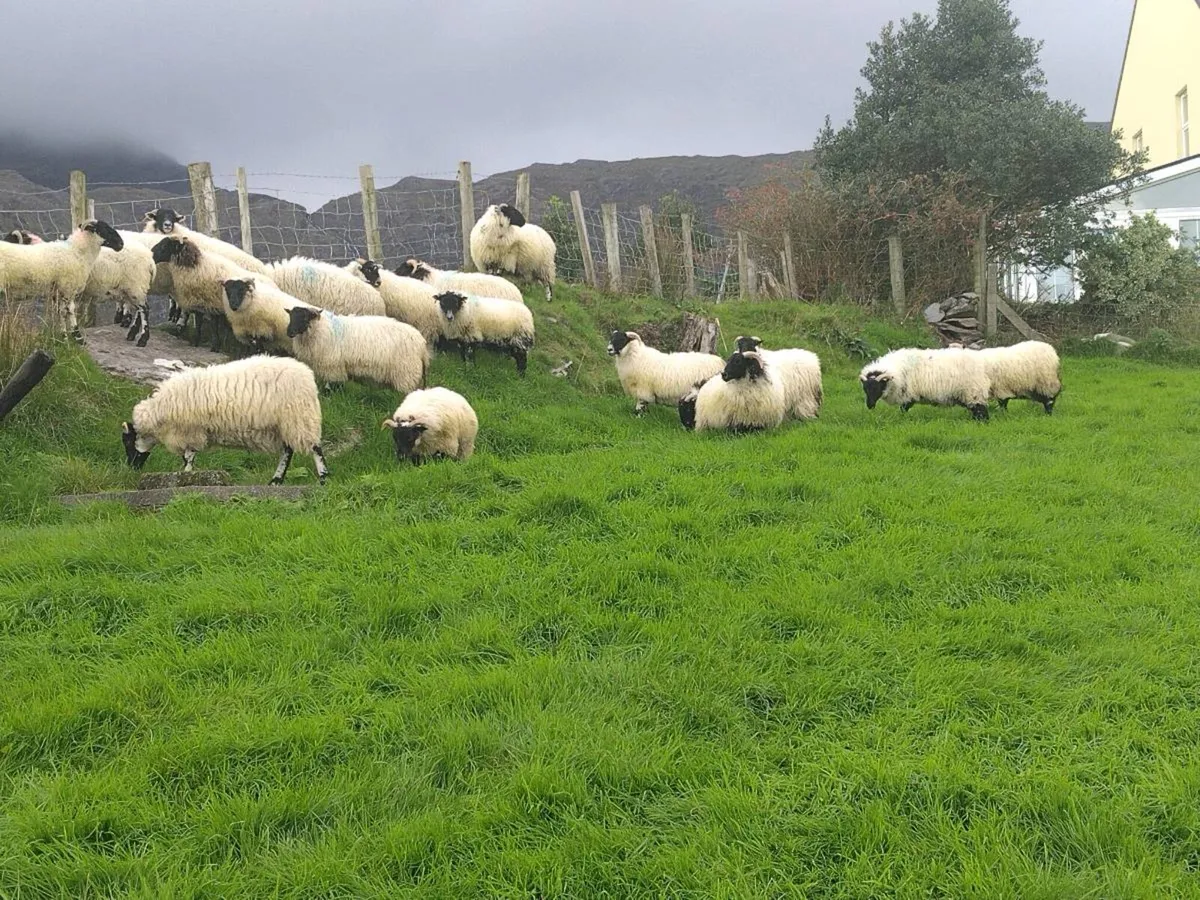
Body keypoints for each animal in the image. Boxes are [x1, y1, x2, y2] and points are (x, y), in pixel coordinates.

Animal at [121, 354, 328, 485]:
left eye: (128, 441)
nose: (131, 467)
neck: (158, 413)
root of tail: (307, 376)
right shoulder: (191, 433)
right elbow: (189, 456)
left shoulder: (190, 431)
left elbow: (188, 457)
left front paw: (185, 477)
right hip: (284, 424)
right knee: (288, 451)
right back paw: (276, 481)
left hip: (299, 417)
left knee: (314, 448)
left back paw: (323, 478)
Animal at [286, 305, 430, 393]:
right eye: (290, 316)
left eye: (304, 317)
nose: (289, 332)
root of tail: (421, 345)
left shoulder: (332, 367)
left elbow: (332, 385)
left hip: (405, 374)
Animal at [860, 347, 991, 421]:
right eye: (865, 389)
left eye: (877, 388)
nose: (869, 405)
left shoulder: (909, 394)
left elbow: (903, 408)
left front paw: (901, 418)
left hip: (973, 392)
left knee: (981, 411)